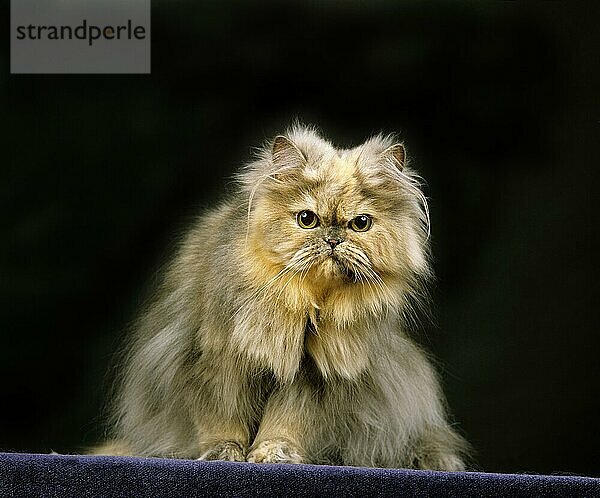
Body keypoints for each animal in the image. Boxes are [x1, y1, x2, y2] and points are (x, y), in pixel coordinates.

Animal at [94, 124, 468, 470]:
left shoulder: (310, 375)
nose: (333, 240)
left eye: (360, 223)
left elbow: (286, 423)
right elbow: (221, 420)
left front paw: (274, 454)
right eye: (307, 219)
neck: (307, 304)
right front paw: (224, 453)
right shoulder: (215, 359)